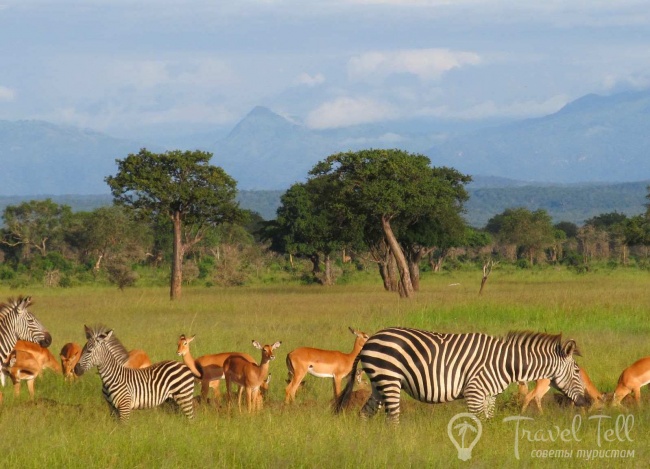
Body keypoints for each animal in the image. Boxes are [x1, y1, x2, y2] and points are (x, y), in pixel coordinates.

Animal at [336, 328, 584, 422]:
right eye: (577, 372)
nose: (585, 402)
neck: (505, 363)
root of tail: (371, 339)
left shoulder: (489, 395)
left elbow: (488, 421)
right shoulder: (474, 392)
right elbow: (478, 422)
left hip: (378, 383)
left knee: (364, 414)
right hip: (389, 379)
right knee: (392, 418)